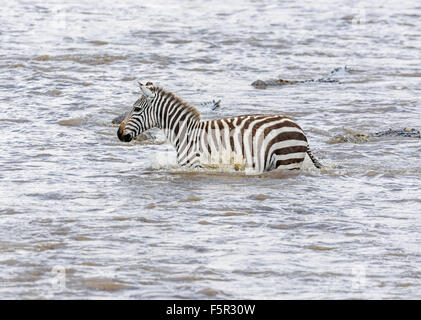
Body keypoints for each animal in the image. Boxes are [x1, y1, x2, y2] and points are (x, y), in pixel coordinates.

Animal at [116, 82, 320, 172]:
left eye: (136, 109)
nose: (118, 133)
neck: (186, 134)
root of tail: (298, 126)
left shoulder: (197, 165)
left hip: (287, 162)